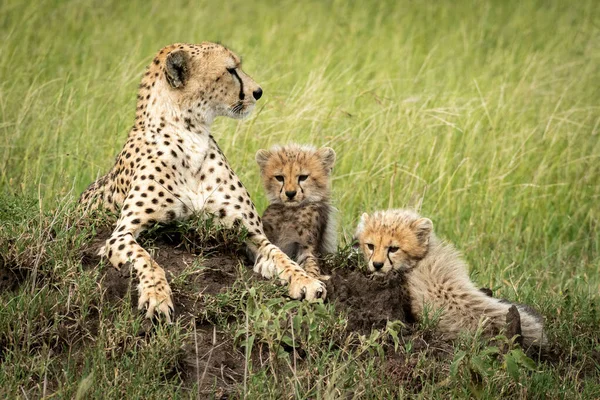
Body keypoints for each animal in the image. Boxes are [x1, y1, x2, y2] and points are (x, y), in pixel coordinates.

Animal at [78, 42, 328, 322]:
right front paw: (157, 296)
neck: (191, 137)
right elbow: (147, 260)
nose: (258, 92)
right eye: (230, 70)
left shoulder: (252, 235)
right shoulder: (121, 234)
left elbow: (280, 255)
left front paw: (305, 280)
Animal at [253, 144, 338, 278]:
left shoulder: (306, 246)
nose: (290, 193)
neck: (290, 211)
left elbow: (310, 264)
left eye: (303, 177)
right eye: (279, 177)